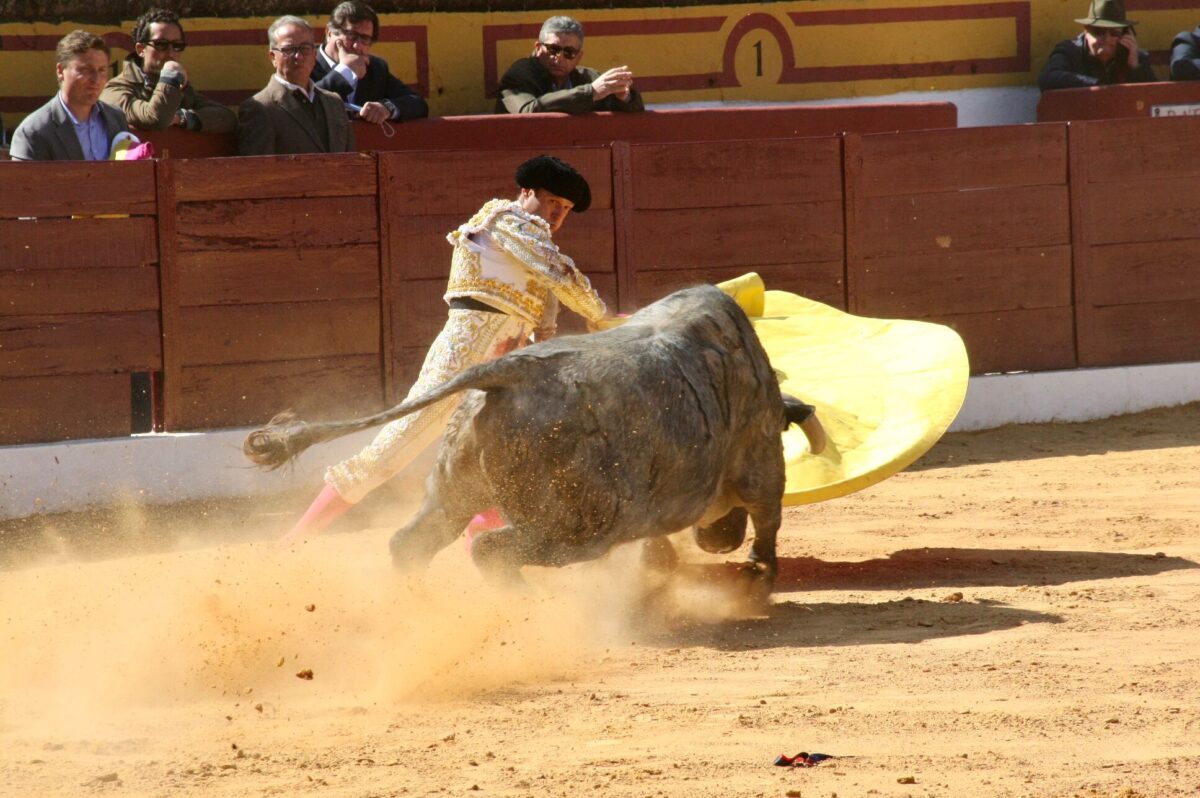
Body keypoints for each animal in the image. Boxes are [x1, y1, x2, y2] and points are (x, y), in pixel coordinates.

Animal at [244, 284, 811, 590]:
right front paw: (759, 572)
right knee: (490, 550)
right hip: (580, 526)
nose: (718, 540)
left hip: (455, 488)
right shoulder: (762, 462)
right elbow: (769, 516)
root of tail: (506, 372)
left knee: (412, 542)